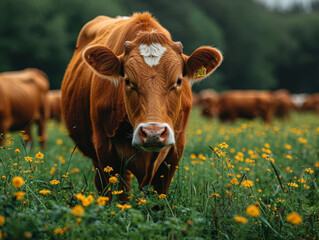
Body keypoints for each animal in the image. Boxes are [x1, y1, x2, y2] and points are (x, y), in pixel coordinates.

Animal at [61, 12, 224, 198]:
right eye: (128, 81)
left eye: (178, 80)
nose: (153, 133)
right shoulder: (104, 148)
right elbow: (116, 194)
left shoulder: (175, 148)